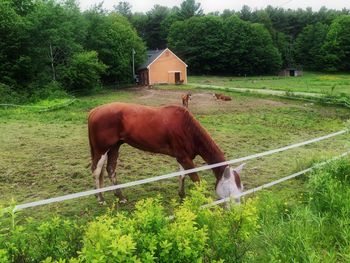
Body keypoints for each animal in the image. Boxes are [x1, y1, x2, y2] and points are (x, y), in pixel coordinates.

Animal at [87, 102, 243, 204]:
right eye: (230, 190)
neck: (187, 128)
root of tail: (94, 111)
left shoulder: (184, 158)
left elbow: (182, 175)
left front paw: (182, 196)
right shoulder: (184, 158)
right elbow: (195, 179)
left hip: (114, 147)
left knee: (110, 169)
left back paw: (120, 197)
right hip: (102, 149)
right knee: (96, 170)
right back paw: (100, 199)